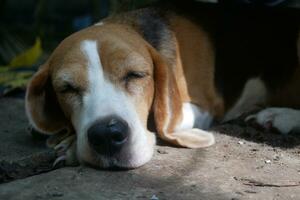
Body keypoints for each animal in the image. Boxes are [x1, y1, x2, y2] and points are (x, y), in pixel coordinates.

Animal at [25, 1, 300, 169]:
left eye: (136, 75)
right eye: (67, 88)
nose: (106, 135)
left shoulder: (203, 107)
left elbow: (159, 118)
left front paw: (70, 146)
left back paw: (278, 117)